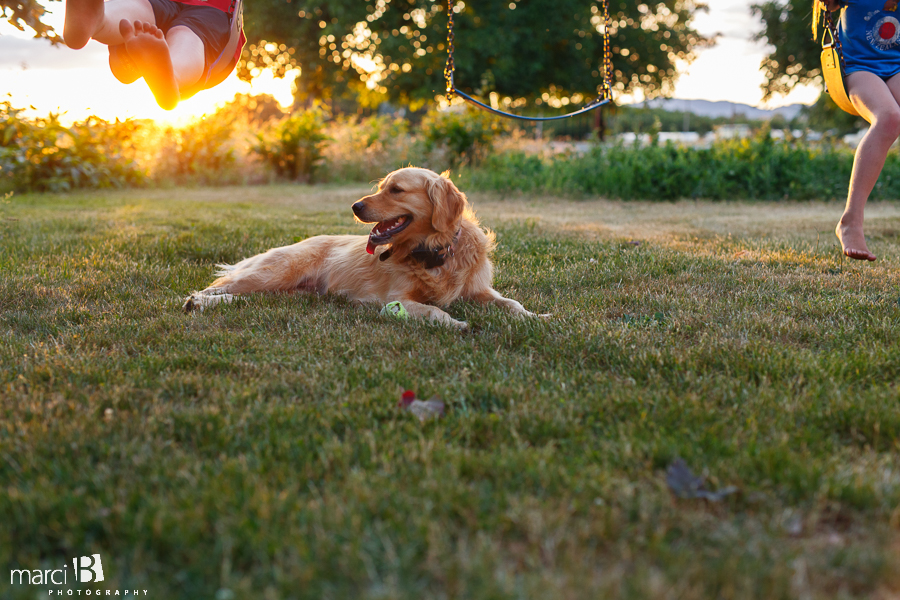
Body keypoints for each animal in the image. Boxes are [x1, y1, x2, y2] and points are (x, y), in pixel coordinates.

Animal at [182, 165, 544, 328]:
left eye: (396, 190)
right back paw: (197, 301)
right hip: (274, 273)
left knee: (245, 297)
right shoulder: (397, 298)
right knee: (218, 286)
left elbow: (511, 303)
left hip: (287, 292)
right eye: (382, 187)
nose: (355, 206)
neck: (434, 252)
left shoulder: (480, 290)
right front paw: (456, 323)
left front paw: (537, 316)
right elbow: (434, 310)